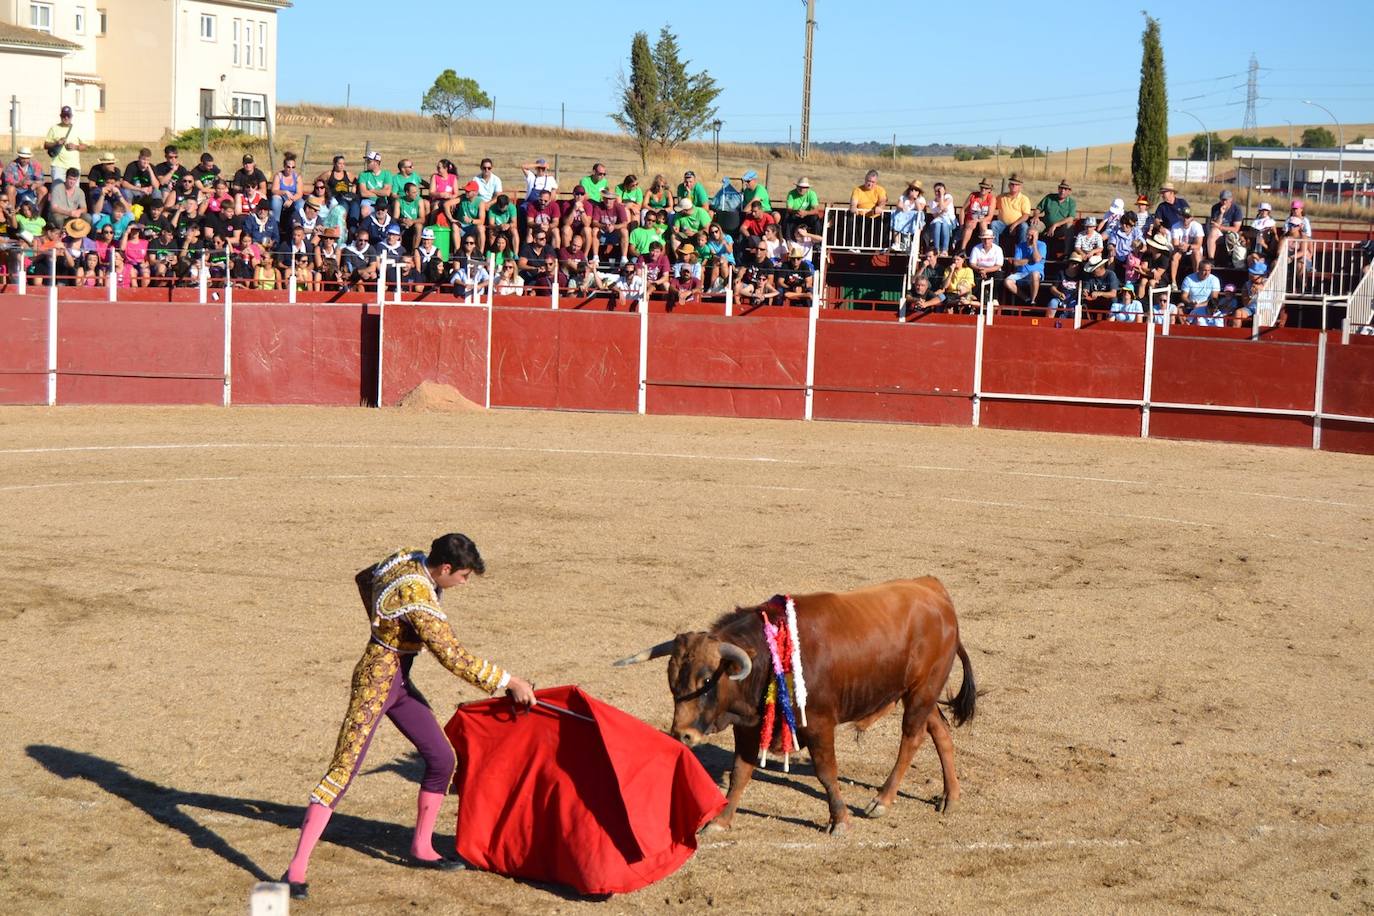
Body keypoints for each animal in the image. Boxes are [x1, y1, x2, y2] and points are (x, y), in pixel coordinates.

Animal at [612, 585, 978, 834]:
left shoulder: (818, 724)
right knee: (939, 730)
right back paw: (951, 796)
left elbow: (826, 771)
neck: (768, 655)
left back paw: (882, 801)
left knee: (911, 738)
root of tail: (937, 593)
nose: (682, 735)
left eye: (706, 679)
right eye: (672, 680)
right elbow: (740, 773)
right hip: (918, 693)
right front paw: (721, 820)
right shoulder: (748, 727)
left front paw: (839, 820)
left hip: (921, 693)